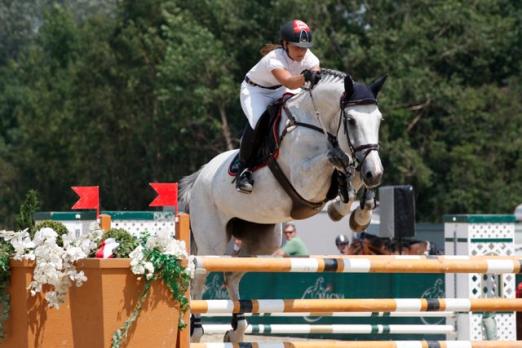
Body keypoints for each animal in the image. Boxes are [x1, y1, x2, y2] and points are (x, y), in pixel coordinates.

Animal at [181, 68, 384, 342]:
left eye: (379, 120)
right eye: (351, 121)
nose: (376, 173)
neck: (317, 125)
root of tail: (199, 177)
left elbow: (353, 176)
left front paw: (355, 213)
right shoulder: (304, 180)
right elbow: (335, 160)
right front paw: (344, 197)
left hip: (263, 241)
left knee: (231, 274)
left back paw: (237, 329)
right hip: (211, 240)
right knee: (201, 275)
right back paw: (195, 329)